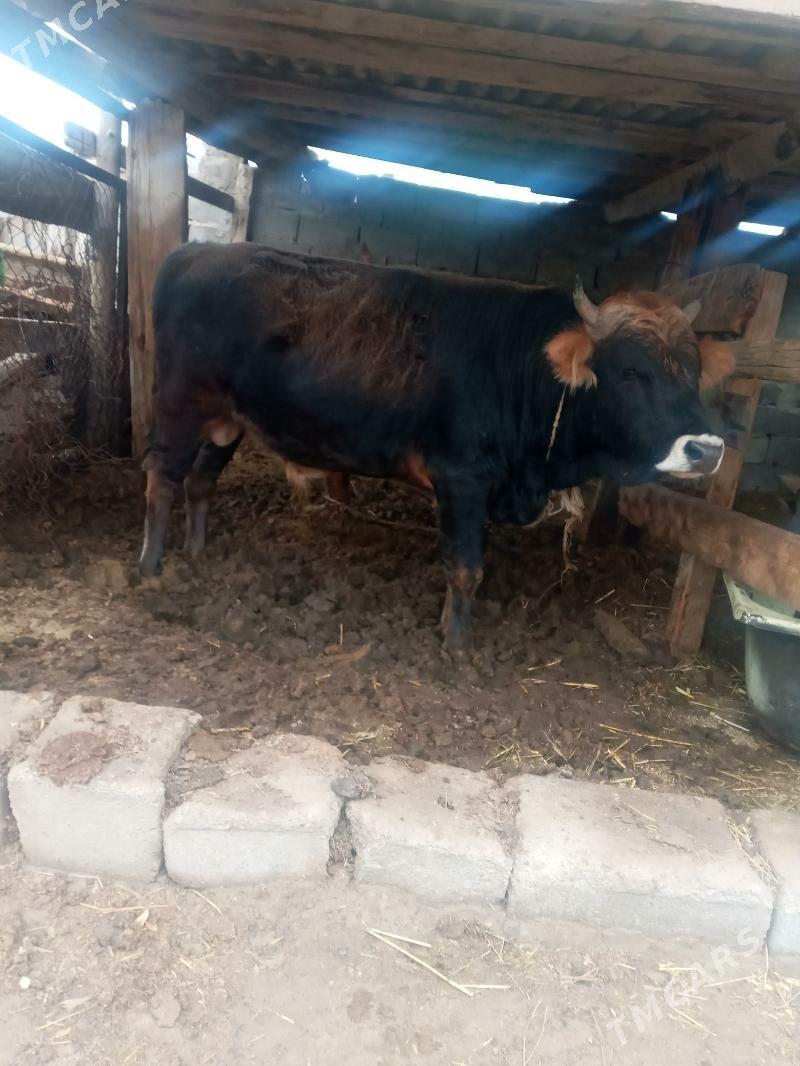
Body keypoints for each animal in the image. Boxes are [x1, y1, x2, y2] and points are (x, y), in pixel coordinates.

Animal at [140, 243, 733, 652]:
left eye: (693, 372)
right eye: (632, 372)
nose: (705, 449)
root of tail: (197, 249)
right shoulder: (462, 479)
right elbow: (466, 567)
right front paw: (456, 645)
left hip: (227, 420)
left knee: (201, 479)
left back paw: (196, 554)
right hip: (178, 406)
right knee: (162, 481)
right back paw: (151, 566)